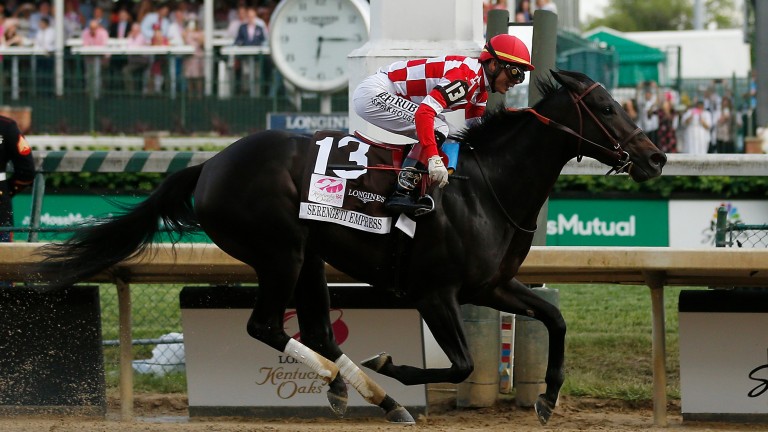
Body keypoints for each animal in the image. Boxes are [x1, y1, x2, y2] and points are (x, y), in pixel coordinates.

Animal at [30, 71, 664, 426]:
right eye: (608, 108)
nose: (656, 156)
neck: (487, 188)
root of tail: (209, 164)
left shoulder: (491, 285)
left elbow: (554, 318)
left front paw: (549, 398)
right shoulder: (436, 292)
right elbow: (461, 364)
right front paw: (392, 365)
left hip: (308, 257)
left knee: (315, 331)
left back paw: (365, 392)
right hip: (279, 252)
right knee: (266, 326)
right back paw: (364, 386)